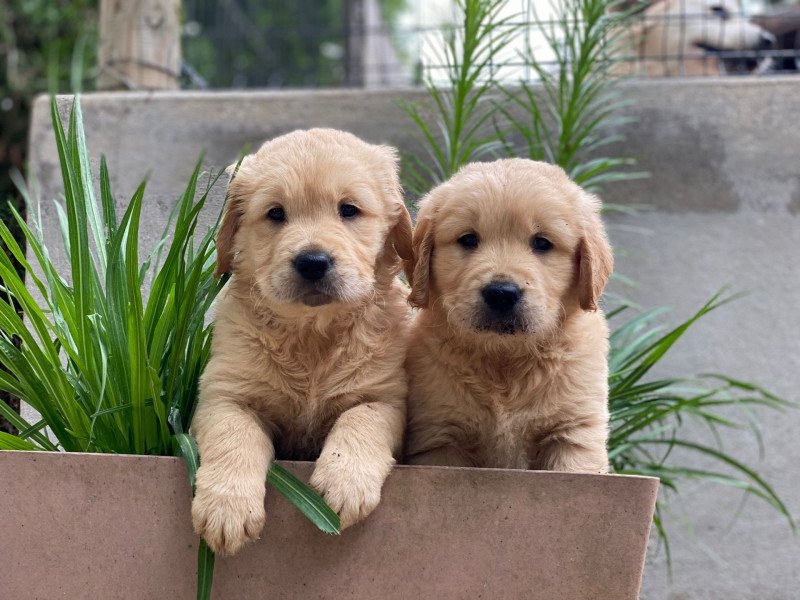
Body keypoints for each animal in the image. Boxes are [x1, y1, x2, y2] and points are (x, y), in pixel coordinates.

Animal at [190, 129, 410, 556]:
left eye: (349, 210)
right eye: (276, 214)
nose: (313, 262)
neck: (312, 335)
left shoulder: (385, 396)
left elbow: (361, 418)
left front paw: (344, 481)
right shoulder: (225, 396)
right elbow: (234, 435)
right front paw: (226, 507)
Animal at [404, 159, 616, 474]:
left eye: (542, 243)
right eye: (468, 239)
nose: (501, 293)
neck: (504, 361)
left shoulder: (573, 432)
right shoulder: (440, 435)